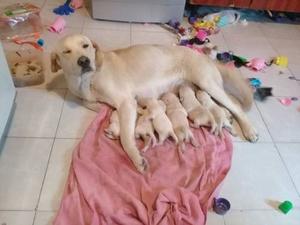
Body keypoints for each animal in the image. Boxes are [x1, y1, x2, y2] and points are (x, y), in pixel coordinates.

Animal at [51, 34, 258, 173]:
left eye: (85, 45)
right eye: (66, 51)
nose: (84, 61)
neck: (86, 80)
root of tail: (205, 57)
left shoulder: (126, 102)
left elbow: (126, 138)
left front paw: (136, 158)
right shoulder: (87, 98)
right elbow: (92, 103)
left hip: (207, 82)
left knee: (236, 107)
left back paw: (249, 130)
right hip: (203, 89)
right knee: (224, 106)